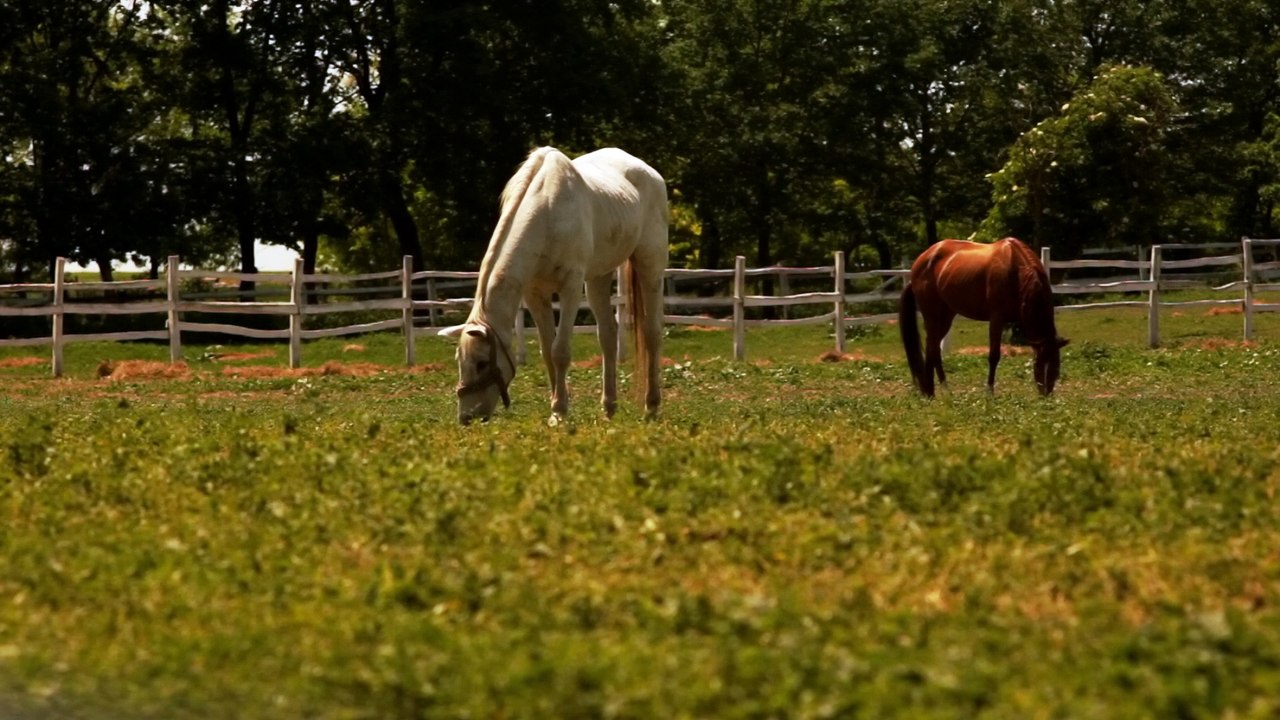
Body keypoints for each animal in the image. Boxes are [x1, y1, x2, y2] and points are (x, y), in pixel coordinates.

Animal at [440, 147, 668, 425]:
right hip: (598, 277)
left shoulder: (570, 287)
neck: (546, 209)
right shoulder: (535, 293)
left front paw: (559, 411)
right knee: (607, 335)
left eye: (482, 363)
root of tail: (649, 172)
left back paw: (652, 406)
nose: (467, 417)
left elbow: (560, 351)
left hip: (650, 264)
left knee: (652, 332)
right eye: (459, 361)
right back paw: (609, 407)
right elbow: (547, 351)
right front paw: (557, 407)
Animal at [899, 237, 1068, 397]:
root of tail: (921, 261)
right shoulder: (997, 319)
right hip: (932, 315)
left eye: (1056, 366)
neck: (1016, 271)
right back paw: (941, 391)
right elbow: (994, 356)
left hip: (946, 316)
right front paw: (989, 393)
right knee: (933, 349)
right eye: (1038, 364)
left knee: (932, 349)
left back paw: (932, 392)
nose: (1046, 395)